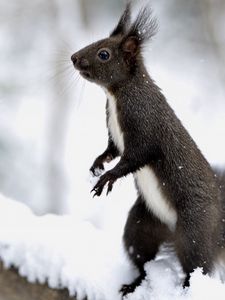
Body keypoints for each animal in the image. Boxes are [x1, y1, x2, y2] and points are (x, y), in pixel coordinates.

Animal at [71, 2, 225, 296]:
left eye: (104, 54)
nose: (74, 58)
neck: (117, 94)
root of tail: (172, 233)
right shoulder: (114, 136)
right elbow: (111, 151)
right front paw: (97, 164)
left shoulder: (145, 128)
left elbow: (135, 157)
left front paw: (107, 178)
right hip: (142, 225)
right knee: (141, 259)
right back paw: (133, 285)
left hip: (194, 229)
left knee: (197, 266)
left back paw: (186, 289)